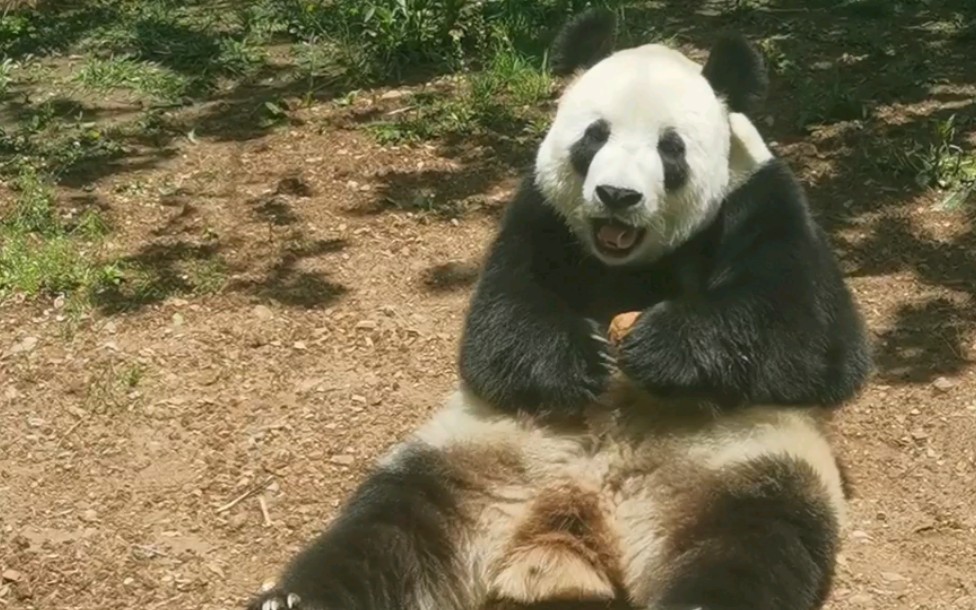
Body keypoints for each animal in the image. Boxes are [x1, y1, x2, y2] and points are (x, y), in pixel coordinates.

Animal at [244, 8, 868, 608]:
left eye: (671, 148)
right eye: (593, 136)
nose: (617, 196)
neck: (632, 262)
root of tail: (575, 518)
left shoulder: (760, 200)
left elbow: (815, 341)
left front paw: (656, 348)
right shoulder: (540, 211)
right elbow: (497, 325)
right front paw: (581, 360)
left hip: (741, 464)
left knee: (752, 544)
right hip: (472, 457)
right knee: (388, 529)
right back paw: (296, 599)